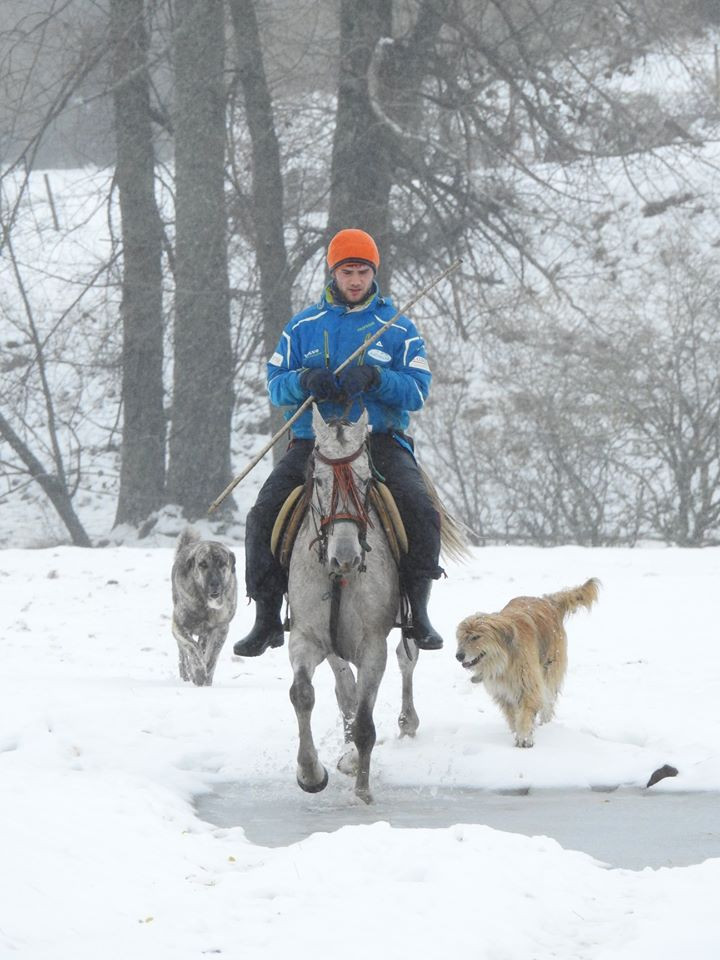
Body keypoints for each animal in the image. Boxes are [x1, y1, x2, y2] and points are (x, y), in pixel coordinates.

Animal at [170, 528, 238, 688]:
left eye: (222, 564)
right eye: (202, 564)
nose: (215, 583)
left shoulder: (220, 629)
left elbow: (211, 657)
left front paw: (206, 678)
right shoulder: (179, 625)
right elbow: (192, 648)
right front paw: (199, 672)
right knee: (184, 654)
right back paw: (187, 674)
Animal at [286, 404, 422, 804]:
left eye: (365, 481)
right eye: (317, 480)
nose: (344, 557)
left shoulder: (372, 646)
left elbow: (364, 720)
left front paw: (363, 791)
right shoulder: (306, 637)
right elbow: (304, 695)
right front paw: (311, 774)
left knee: (407, 659)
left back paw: (407, 722)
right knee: (344, 689)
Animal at [456, 576, 600, 752]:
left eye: (476, 637)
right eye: (461, 638)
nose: (458, 656)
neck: (505, 661)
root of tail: (548, 602)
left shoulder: (528, 683)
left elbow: (525, 713)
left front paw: (524, 737)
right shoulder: (502, 692)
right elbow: (512, 715)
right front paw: (516, 731)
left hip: (550, 668)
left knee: (548, 700)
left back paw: (545, 723)